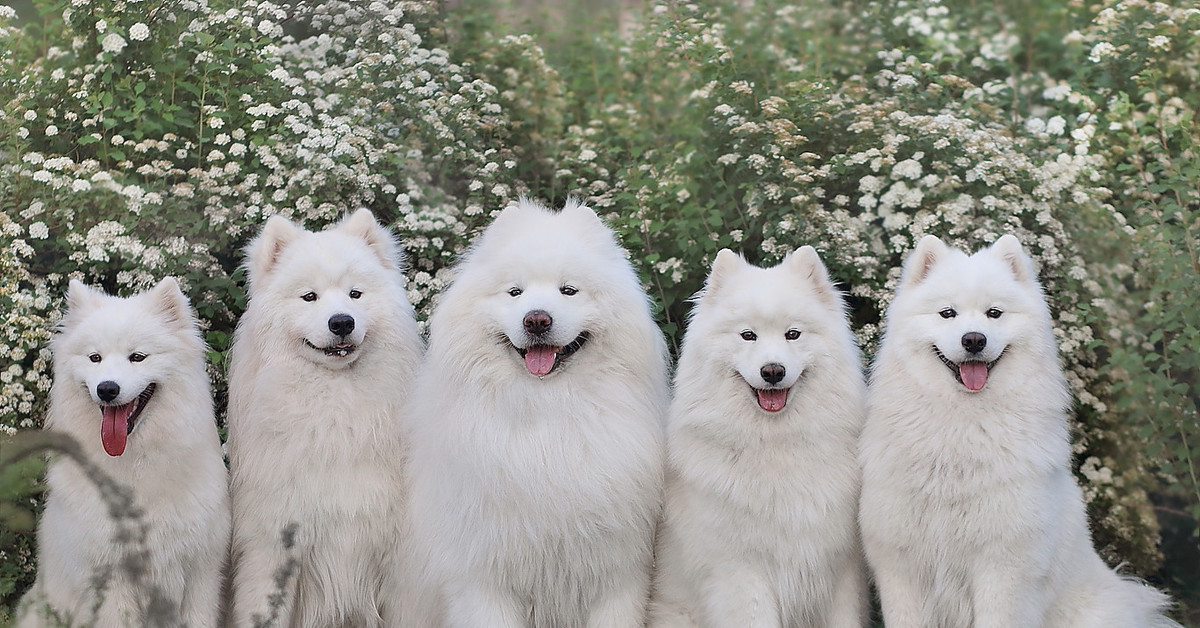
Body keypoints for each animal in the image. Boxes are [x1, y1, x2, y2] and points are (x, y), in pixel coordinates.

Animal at [18, 279, 229, 628]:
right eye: (95, 358)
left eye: (138, 357)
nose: (107, 389)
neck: (135, 468)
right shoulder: (111, 580)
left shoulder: (201, 572)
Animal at [226, 210, 424, 628]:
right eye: (309, 296)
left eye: (355, 294)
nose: (342, 322)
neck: (336, 413)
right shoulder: (273, 547)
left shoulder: (399, 559)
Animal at [400, 199, 667, 624]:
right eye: (515, 292)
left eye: (569, 290)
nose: (537, 319)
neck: (546, 412)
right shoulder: (483, 578)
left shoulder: (618, 576)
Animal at [652, 248, 868, 628]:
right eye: (747, 335)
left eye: (793, 334)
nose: (772, 371)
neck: (775, 445)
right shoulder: (741, 571)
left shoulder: (839, 566)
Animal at [864, 235, 1180, 628]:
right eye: (947, 313)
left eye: (994, 314)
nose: (974, 340)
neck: (962, 425)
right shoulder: (901, 566)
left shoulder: (1004, 568)